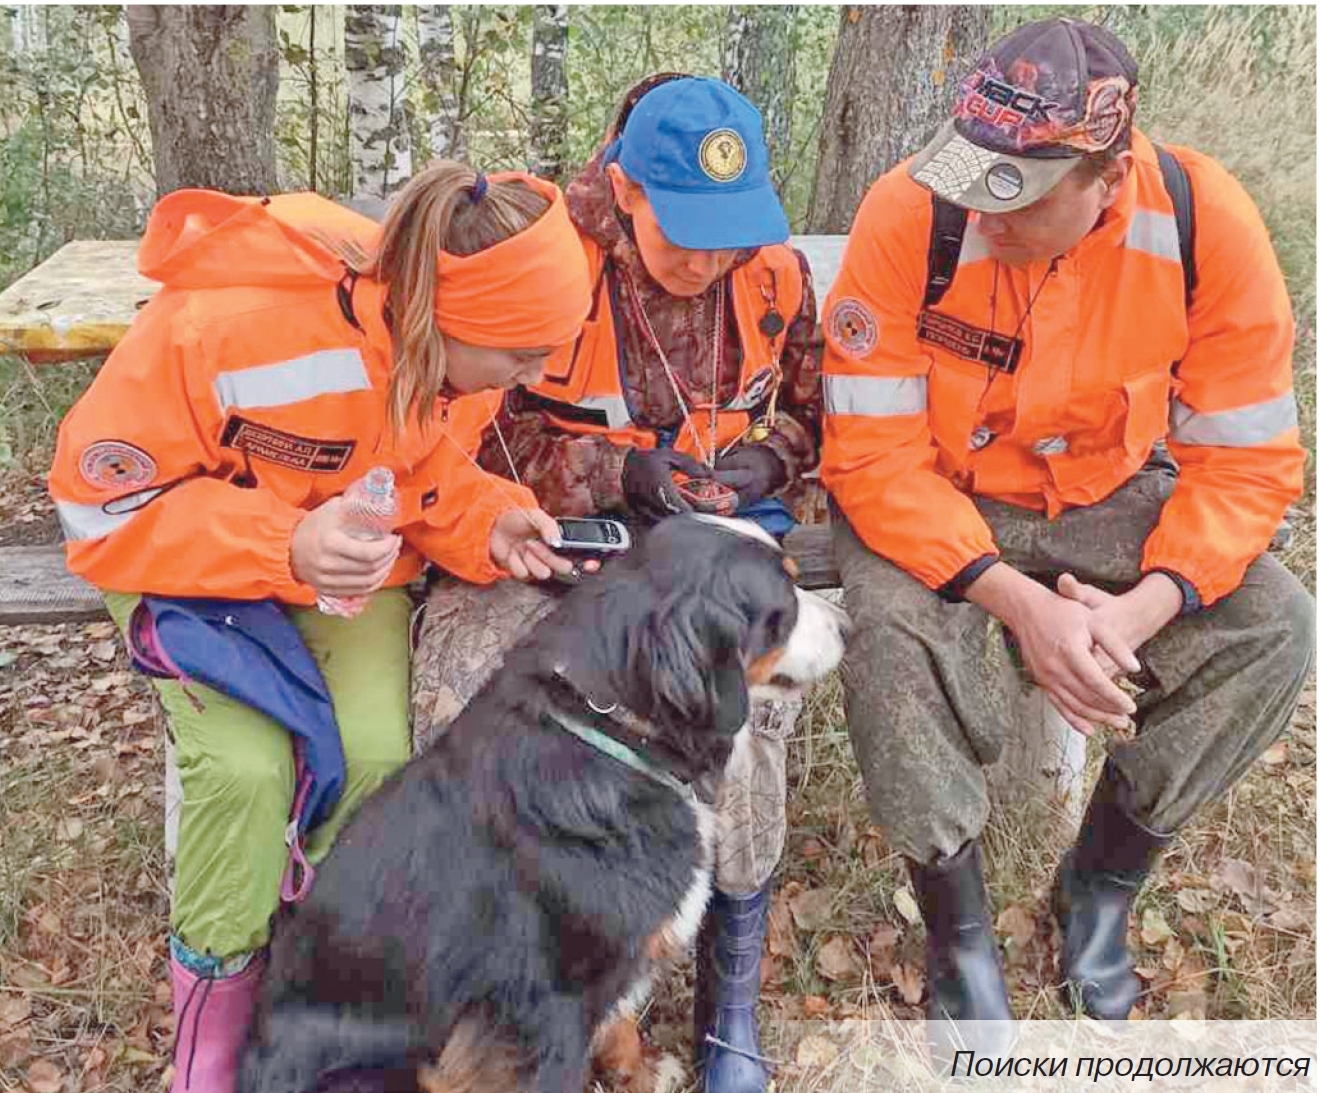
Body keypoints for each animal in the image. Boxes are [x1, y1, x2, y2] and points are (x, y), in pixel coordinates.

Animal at [242, 514, 850, 1093]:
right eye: (783, 603)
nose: (849, 624)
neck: (610, 731)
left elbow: (621, 1025)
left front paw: (640, 1075)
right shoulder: (551, 1004)